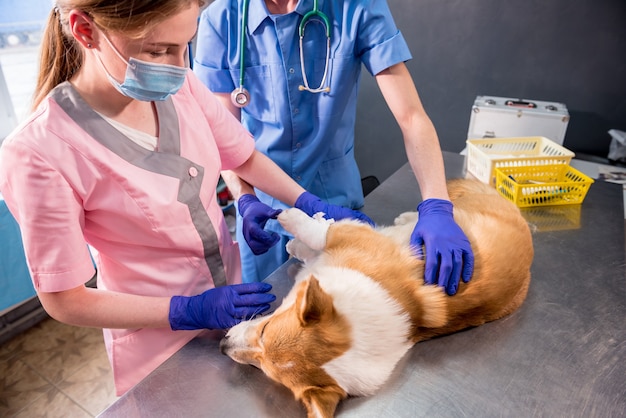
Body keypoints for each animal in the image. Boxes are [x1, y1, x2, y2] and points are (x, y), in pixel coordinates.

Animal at [219, 180, 532, 418]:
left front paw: (292, 220)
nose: (223, 346)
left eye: (264, 332)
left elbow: (320, 234)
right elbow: (317, 243)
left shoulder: (353, 236)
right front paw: (300, 241)